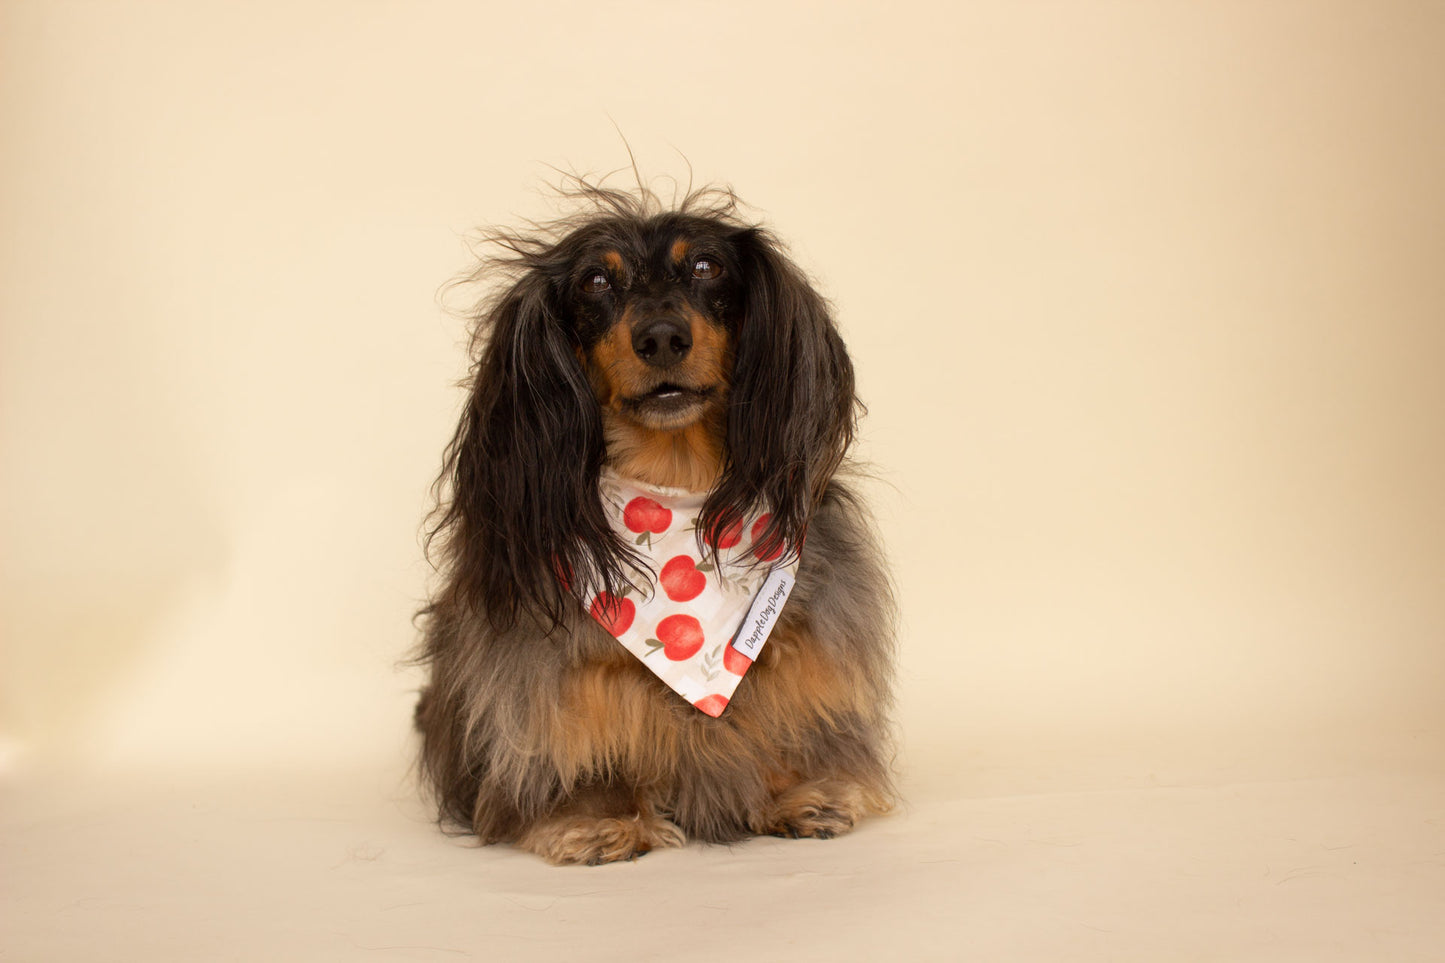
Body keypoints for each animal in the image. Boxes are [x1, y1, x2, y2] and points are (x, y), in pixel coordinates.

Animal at [413, 180, 895, 861]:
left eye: (705, 266)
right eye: (594, 280)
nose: (662, 337)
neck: (675, 485)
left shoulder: (800, 636)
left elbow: (791, 701)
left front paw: (799, 790)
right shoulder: (545, 673)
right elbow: (574, 731)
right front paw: (594, 816)